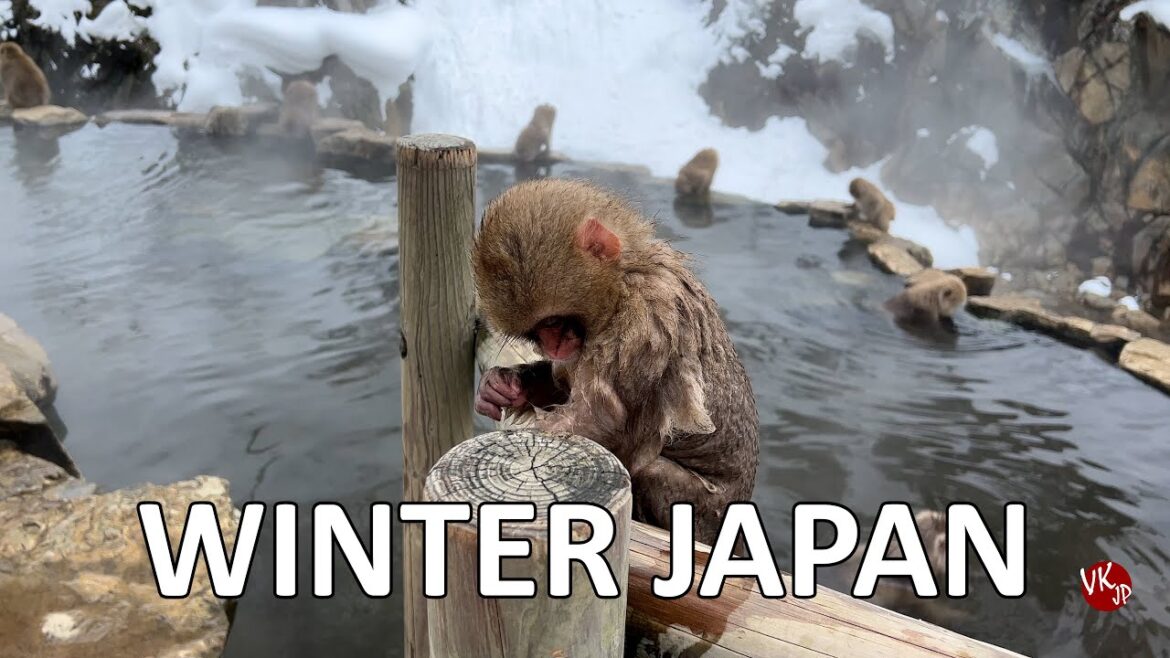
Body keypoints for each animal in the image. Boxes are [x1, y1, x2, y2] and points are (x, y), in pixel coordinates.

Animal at [472, 179, 759, 546]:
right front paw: (502, 386)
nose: (553, 346)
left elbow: (605, 418)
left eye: (553, 322)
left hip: (708, 515)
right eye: (537, 332)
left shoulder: (643, 320)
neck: (626, 277)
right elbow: (561, 386)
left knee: (652, 470)